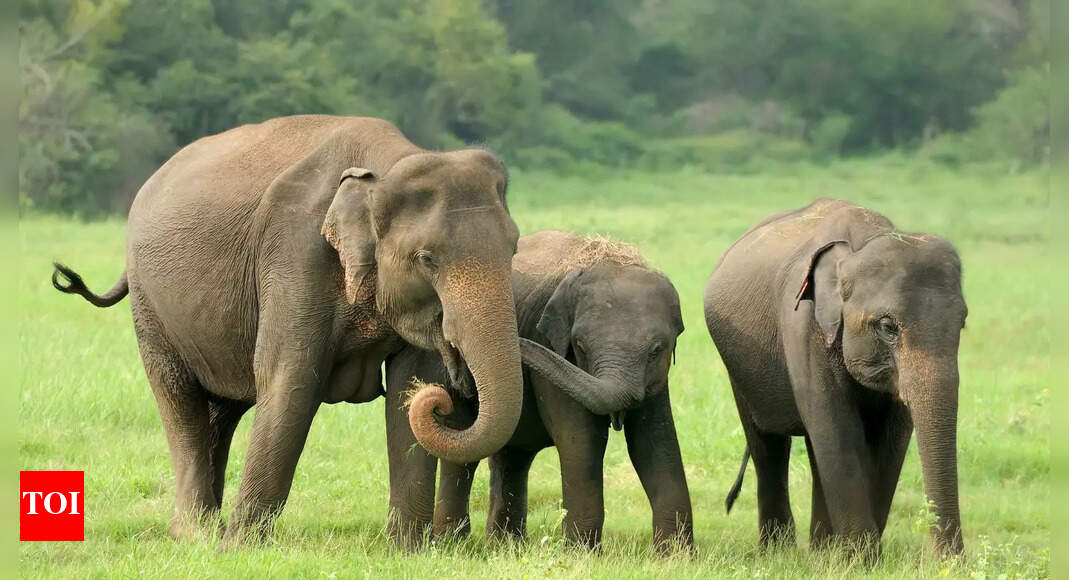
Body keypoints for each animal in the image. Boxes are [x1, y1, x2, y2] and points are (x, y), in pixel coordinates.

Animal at [51, 115, 530, 546]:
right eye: (426, 259)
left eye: (513, 248)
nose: (453, 393)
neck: (389, 162)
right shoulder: (294, 253)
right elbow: (290, 380)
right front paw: (240, 550)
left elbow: (408, 386)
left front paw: (407, 551)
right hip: (151, 308)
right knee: (179, 400)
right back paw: (198, 535)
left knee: (222, 411)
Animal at [385, 230, 693, 552]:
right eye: (580, 346)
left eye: (656, 350)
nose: (453, 343)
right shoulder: (554, 353)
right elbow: (582, 440)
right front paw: (583, 554)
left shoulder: (657, 381)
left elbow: (654, 442)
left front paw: (675, 557)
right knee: (464, 450)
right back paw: (455, 544)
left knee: (511, 456)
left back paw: (505, 546)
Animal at [704, 198, 966, 557]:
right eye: (888, 326)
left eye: (962, 324)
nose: (955, 562)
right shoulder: (804, 327)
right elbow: (836, 428)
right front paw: (861, 559)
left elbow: (891, 439)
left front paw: (854, 556)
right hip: (739, 369)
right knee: (767, 443)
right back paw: (780, 553)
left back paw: (820, 550)